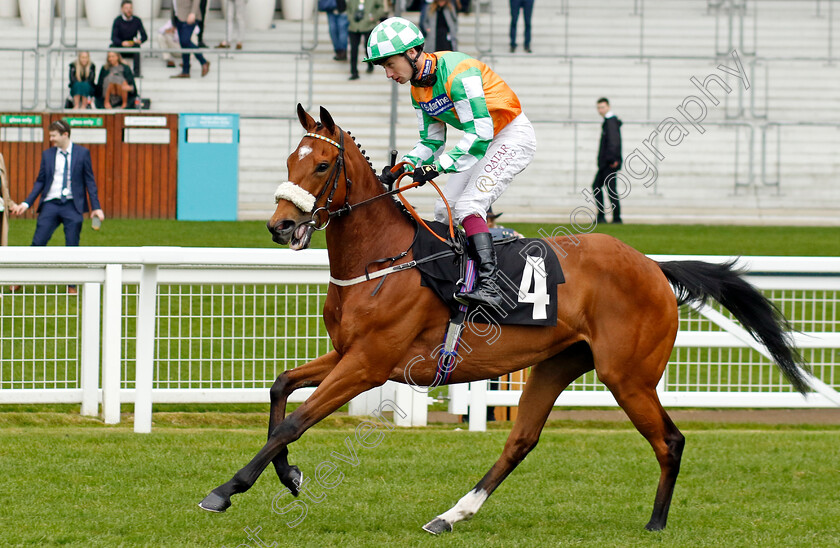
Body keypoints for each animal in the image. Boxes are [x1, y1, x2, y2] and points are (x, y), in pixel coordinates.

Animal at [200, 105, 812, 532]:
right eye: (290, 162)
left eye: (323, 164)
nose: (279, 226)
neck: (384, 259)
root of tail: (653, 266)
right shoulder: (348, 352)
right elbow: (281, 388)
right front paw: (289, 474)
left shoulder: (370, 363)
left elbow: (298, 420)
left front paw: (228, 487)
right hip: (557, 364)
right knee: (521, 439)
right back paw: (451, 515)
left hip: (628, 375)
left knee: (671, 440)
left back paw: (657, 522)